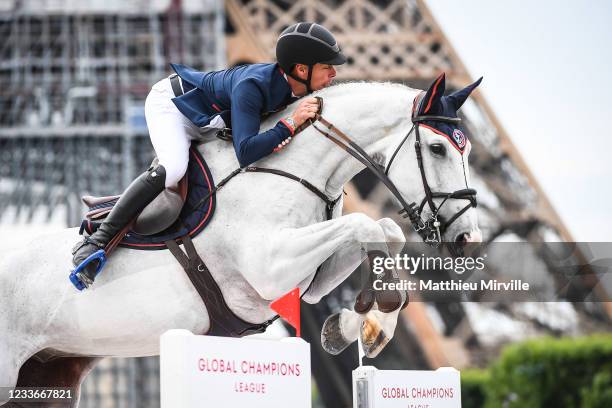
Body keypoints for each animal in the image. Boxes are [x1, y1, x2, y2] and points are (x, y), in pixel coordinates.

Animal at [0, 72, 480, 404]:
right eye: (437, 149)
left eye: (467, 150)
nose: (466, 240)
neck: (291, 166)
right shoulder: (270, 266)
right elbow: (367, 225)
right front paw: (365, 321)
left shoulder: (307, 282)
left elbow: (385, 231)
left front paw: (358, 327)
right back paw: (89, 255)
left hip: (47, 377)